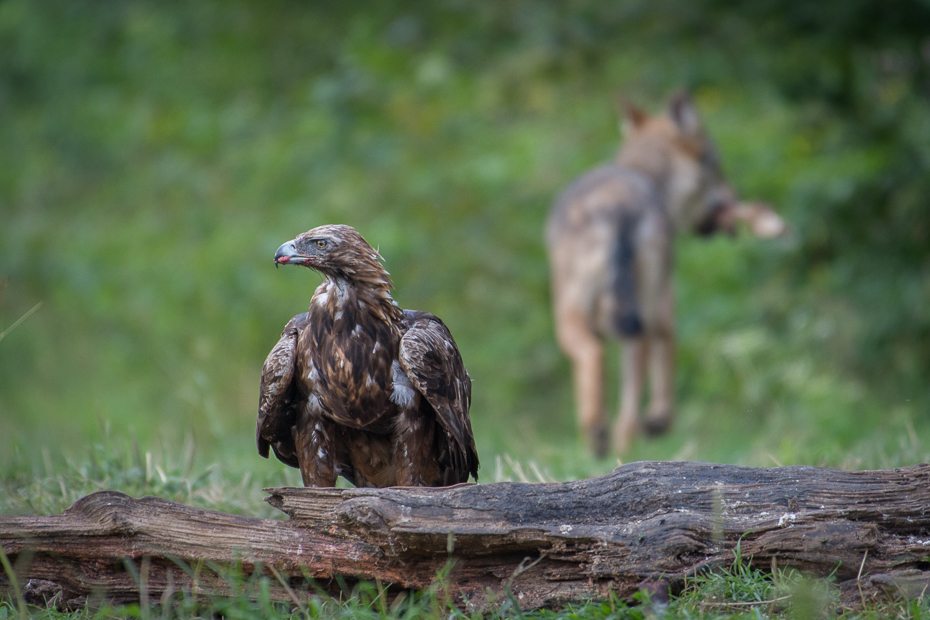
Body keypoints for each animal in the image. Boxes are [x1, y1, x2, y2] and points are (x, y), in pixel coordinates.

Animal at [544, 94, 784, 458]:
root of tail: (615, 205)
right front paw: (657, 422)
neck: (643, 172)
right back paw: (617, 446)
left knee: (595, 358)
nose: (734, 197)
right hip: (623, 317)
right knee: (623, 401)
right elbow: (667, 376)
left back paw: (598, 438)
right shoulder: (666, 314)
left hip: (579, 315)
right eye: (715, 164)